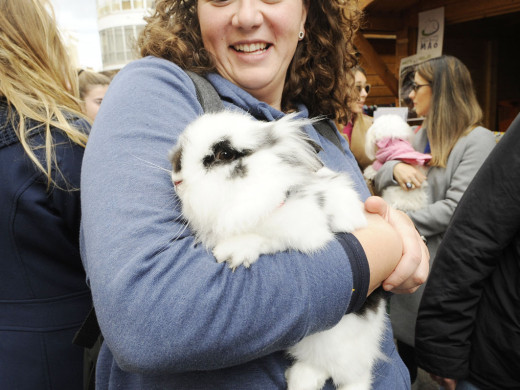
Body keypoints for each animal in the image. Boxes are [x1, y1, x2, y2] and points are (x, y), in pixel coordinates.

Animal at [170, 110, 386, 390]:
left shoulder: (308, 232)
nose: (176, 179)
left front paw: (233, 251)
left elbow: (267, 237)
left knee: (349, 375)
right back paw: (299, 381)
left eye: (224, 154)